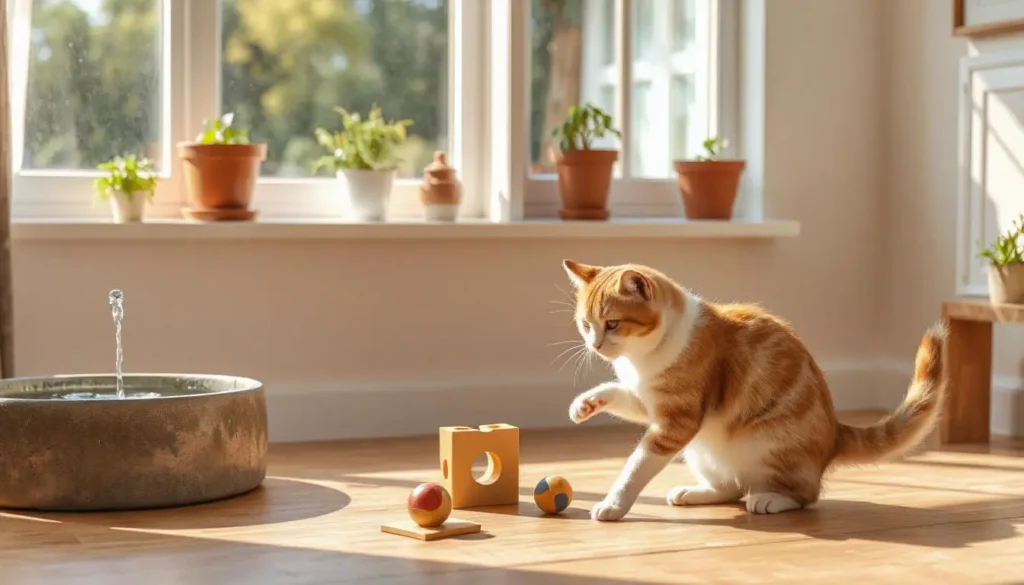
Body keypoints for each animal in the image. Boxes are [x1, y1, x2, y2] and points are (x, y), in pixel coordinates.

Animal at [565, 260, 946, 522]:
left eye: (613, 324)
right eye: (586, 325)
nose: (595, 345)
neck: (641, 359)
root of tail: (835, 432)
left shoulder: (676, 422)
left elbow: (635, 467)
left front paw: (613, 504)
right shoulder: (652, 406)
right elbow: (617, 392)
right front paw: (585, 403)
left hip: (764, 441)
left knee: (806, 493)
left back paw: (771, 499)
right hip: (702, 447)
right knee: (731, 486)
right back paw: (694, 493)